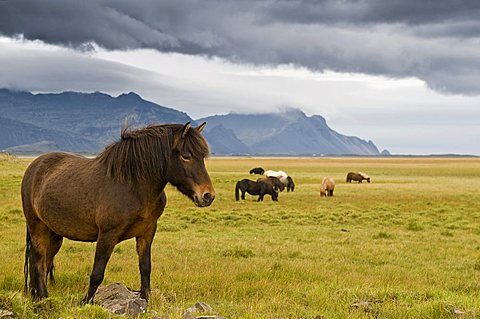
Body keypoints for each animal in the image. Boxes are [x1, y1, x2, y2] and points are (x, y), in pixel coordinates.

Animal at [22, 123, 214, 304]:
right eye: (186, 156)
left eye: (202, 157)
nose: (208, 195)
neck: (133, 186)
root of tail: (34, 166)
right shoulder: (108, 234)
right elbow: (97, 273)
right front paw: (85, 302)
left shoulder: (147, 232)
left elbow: (145, 267)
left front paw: (145, 299)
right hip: (37, 226)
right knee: (38, 262)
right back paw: (44, 298)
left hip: (54, 234)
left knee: (45, 261)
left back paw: (37, 296)